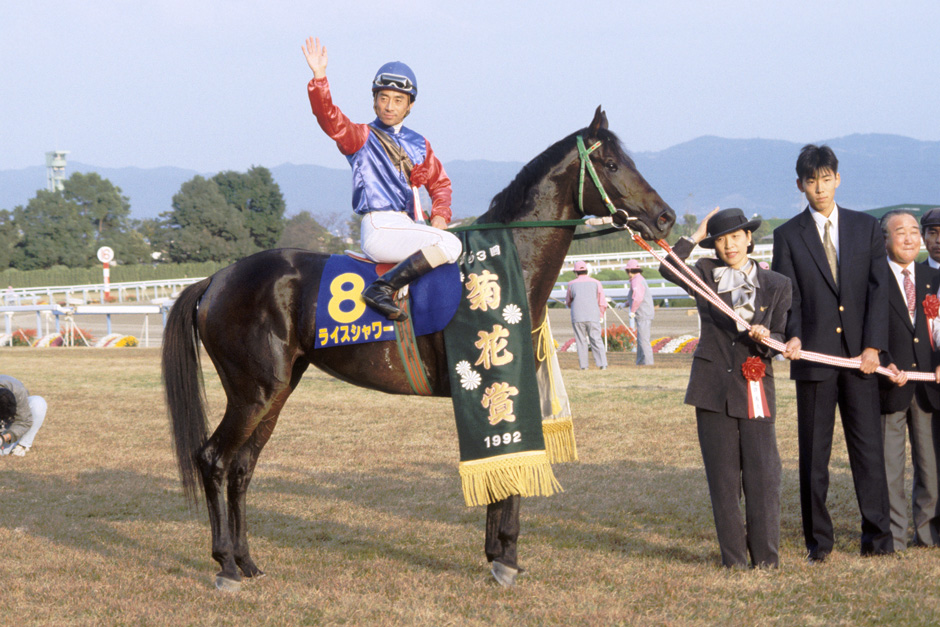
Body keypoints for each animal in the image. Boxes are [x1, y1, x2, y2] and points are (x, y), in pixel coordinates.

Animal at [162, 106, 675, 591]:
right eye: (612, 163)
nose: (665, 217)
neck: (506, 266)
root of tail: (215, 279)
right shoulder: (493, 385)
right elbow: (506, 474)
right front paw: (504, 560)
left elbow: (503, 472)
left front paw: (500, 555)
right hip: (253, 392)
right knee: (214, 460)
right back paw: (226, 565)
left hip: (277, 390)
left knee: (242, 468)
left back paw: (249, 562)